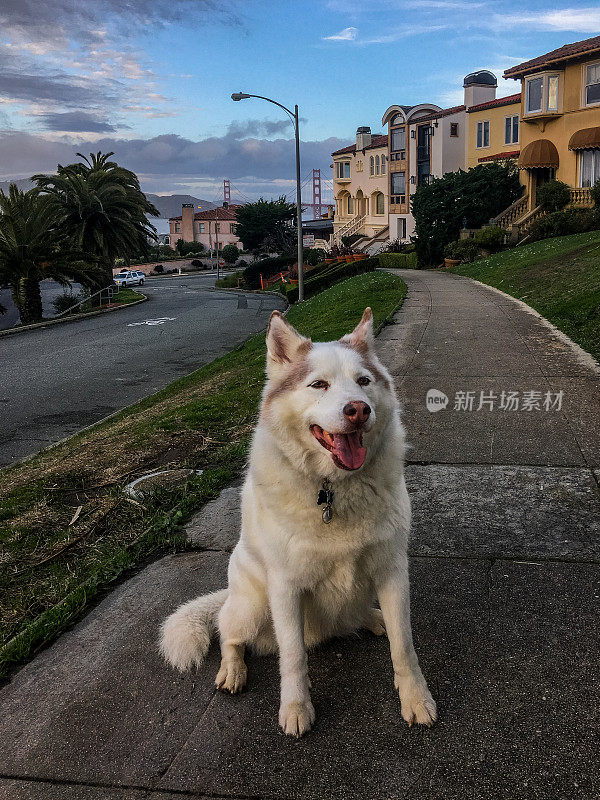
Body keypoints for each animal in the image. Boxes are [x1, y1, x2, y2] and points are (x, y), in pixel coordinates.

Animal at [159, 306, 436, 736]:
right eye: (318, 384)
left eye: (363, 381)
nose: (358, 409)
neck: (332, 489)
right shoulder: (286, 589)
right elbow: (293, 657)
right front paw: (295, 708)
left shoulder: (393, 572)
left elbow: (403, 646)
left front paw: (416, 699)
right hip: (253, 606)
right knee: (227, 632)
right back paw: (232, 670)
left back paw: (372, 619)